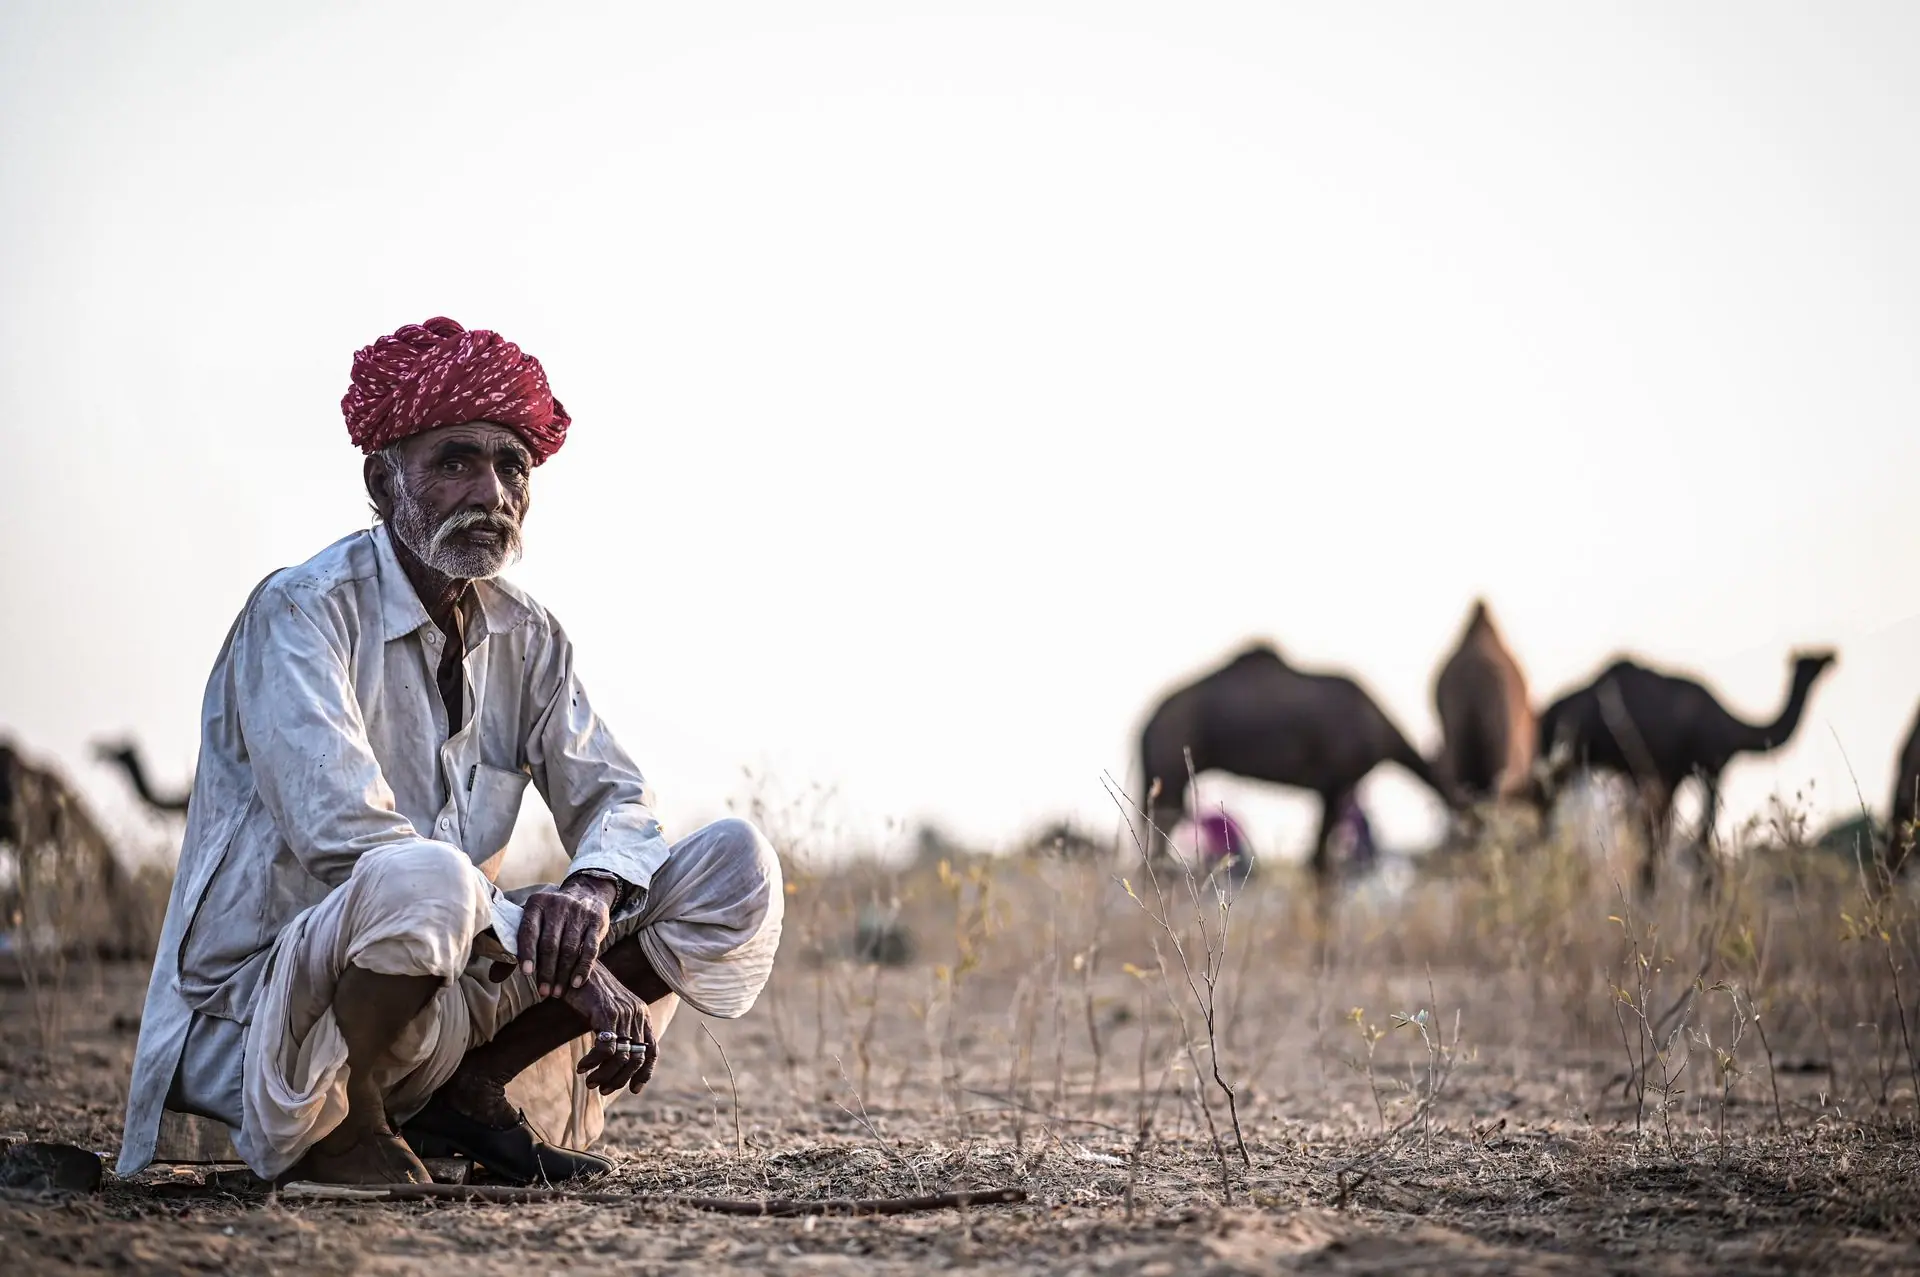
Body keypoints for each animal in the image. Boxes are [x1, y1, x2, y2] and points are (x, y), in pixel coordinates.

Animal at [1135, 642, 1458, 879]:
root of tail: (1145, 726)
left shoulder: (1328, 790)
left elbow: (1317, 863)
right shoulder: (1337, 785)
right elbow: (1319, 865)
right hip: (1171, 775)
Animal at [1533, 648, 1838, 892]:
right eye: (1810, 660)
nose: (1830, 657)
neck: (1735, 730)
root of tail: (1547, 713)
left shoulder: (1668, 777)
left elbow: (1664, 836)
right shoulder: (1701, 772)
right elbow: (1695, 838)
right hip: (1574, 758)